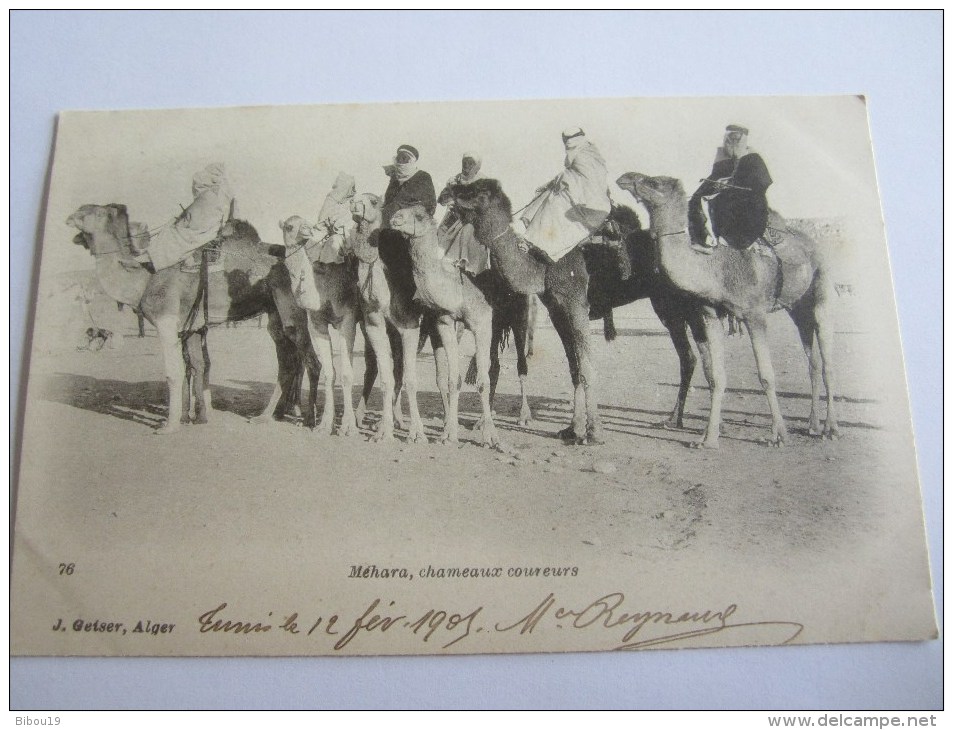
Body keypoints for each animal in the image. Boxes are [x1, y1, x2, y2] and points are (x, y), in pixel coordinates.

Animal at [69, 202, 320, 432]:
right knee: (288, 362)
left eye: (96, 212)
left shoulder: (165, 321)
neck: (144, 280)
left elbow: (174, 372)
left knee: (310, 361)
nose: (72, 216)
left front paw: (169, 425)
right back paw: (267, 416)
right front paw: (195, 416)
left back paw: (309, 420)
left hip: (294, 308)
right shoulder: (191, 327)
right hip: (274, 313)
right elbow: (198, 366)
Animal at [612, 173, 836, 446]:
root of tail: (812, 244)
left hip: (822, 284)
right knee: (812, 360)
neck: (716, 269)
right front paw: (708, 438)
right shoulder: (709, 314)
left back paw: (830, 428)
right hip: (797, 307)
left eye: (654, 183)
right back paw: (812, 425)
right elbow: (716, 376)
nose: (625, 178)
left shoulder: (755, 314)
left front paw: (780, 435)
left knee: (826, 362)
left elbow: (766, 376)